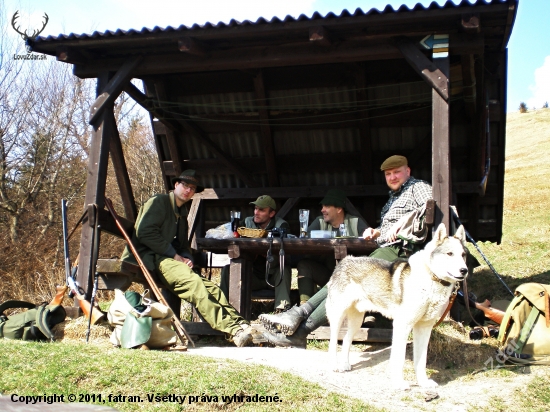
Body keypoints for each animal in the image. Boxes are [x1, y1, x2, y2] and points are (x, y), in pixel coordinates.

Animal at [328, 224, 470, 388]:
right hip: (337, 316)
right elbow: (399, 358)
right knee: (333, 341)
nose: (464, 270)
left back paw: (345, 364)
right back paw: (334, 365)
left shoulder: (424, 328)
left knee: (346, 339)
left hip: (357, 321)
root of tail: (346, 260)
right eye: (449, 254)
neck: (431, 278)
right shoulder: (403, 325)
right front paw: (399, 383)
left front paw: (423, 383)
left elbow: (421, 361)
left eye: (463, 255)